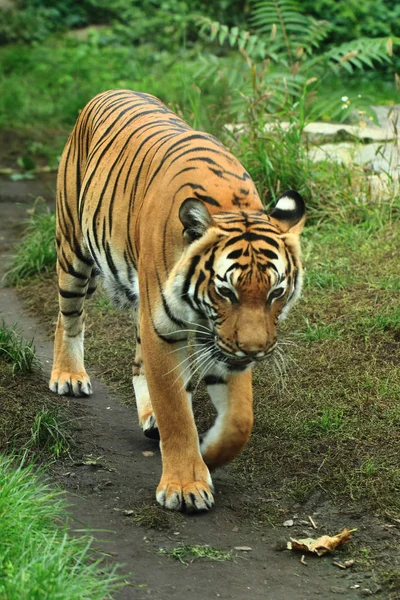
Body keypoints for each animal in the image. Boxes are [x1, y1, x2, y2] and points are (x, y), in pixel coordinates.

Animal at [50, 89, 306, 510]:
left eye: (276, 292)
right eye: (226, 291)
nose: (255, 351)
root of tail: (108, 92)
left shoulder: (221, 343)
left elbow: (240, 418)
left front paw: (210, 455)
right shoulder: (164, 330)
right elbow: (176, 410)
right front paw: (185, 486)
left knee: (138, 364)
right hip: (73, 251)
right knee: (69, 317)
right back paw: (68, 376)